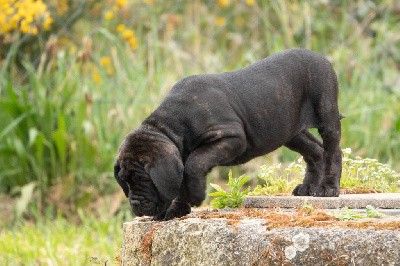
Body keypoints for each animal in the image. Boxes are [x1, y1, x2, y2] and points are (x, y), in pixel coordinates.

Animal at [115, 48, 344, 220]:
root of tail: (320, 56)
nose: (136, 205)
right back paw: (309, 187)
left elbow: (194, 163)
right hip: (290, 132)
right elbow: (182, 177)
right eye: (125, 181)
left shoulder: (232, 138)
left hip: (326, 114)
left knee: (333, 151)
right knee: (316, 151)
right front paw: (177, 209)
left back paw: (328, 188)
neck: (172, 124)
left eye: (144, 179)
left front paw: (195, 196)